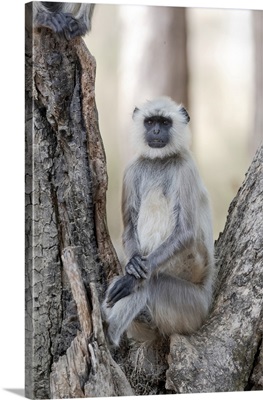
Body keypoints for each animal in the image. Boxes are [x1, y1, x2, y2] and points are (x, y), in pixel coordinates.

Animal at [102, 97, 216, 346]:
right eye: (150, 122)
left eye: (164, 122)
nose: (156, 131)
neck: (159, 161)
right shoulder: (132, 169)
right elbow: (129, 228)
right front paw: (131, 266)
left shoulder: (186, 168)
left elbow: (186, 232)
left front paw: (131, 279)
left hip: (192, 306)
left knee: (151, 281)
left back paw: (109, 333)